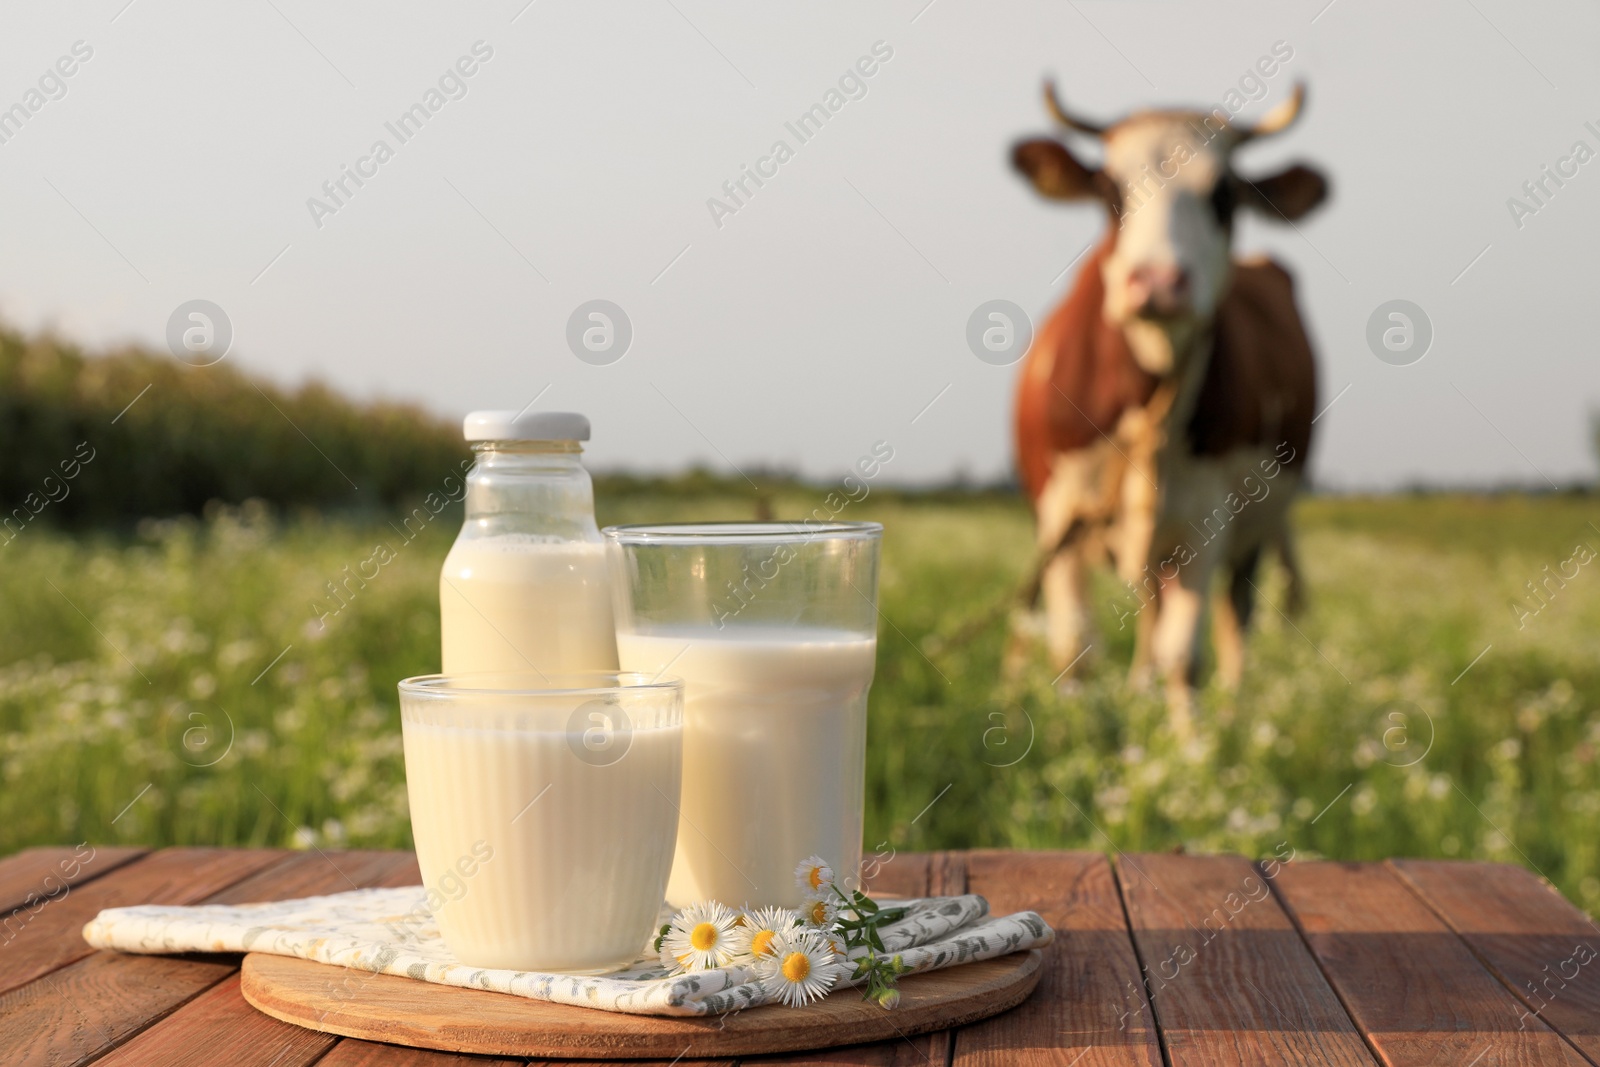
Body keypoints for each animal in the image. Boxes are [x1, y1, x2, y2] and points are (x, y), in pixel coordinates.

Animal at [1011, 83, 1324, 726]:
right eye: (1110, 191)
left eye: (1224, 194)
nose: (1157, 283)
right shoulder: (1058, 513)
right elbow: (1074, 648)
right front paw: (1075, 735)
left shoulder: (1209, 521)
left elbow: (1185, 657)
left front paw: (1192, 746)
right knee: (1149, 611)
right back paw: (1139, 690)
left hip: (1255, 529)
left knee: (1234, 618)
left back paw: (1230, 711)